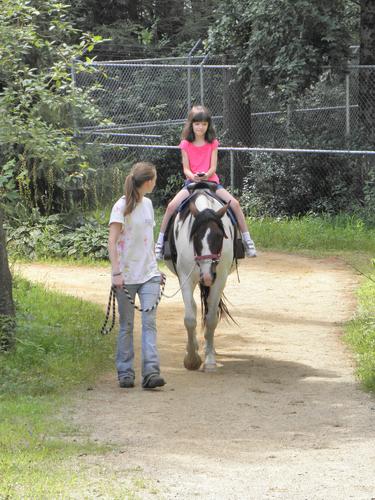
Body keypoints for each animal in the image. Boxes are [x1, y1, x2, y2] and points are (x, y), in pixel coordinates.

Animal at [165, 185, 238, 372]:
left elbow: (211, 319)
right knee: (194, 307)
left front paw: (210, 360)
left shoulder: (219, 279)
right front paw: (191, 359)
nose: (207, 275)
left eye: (219, 235)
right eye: (196, 236)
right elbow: (190, 318)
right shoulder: (185, 277)